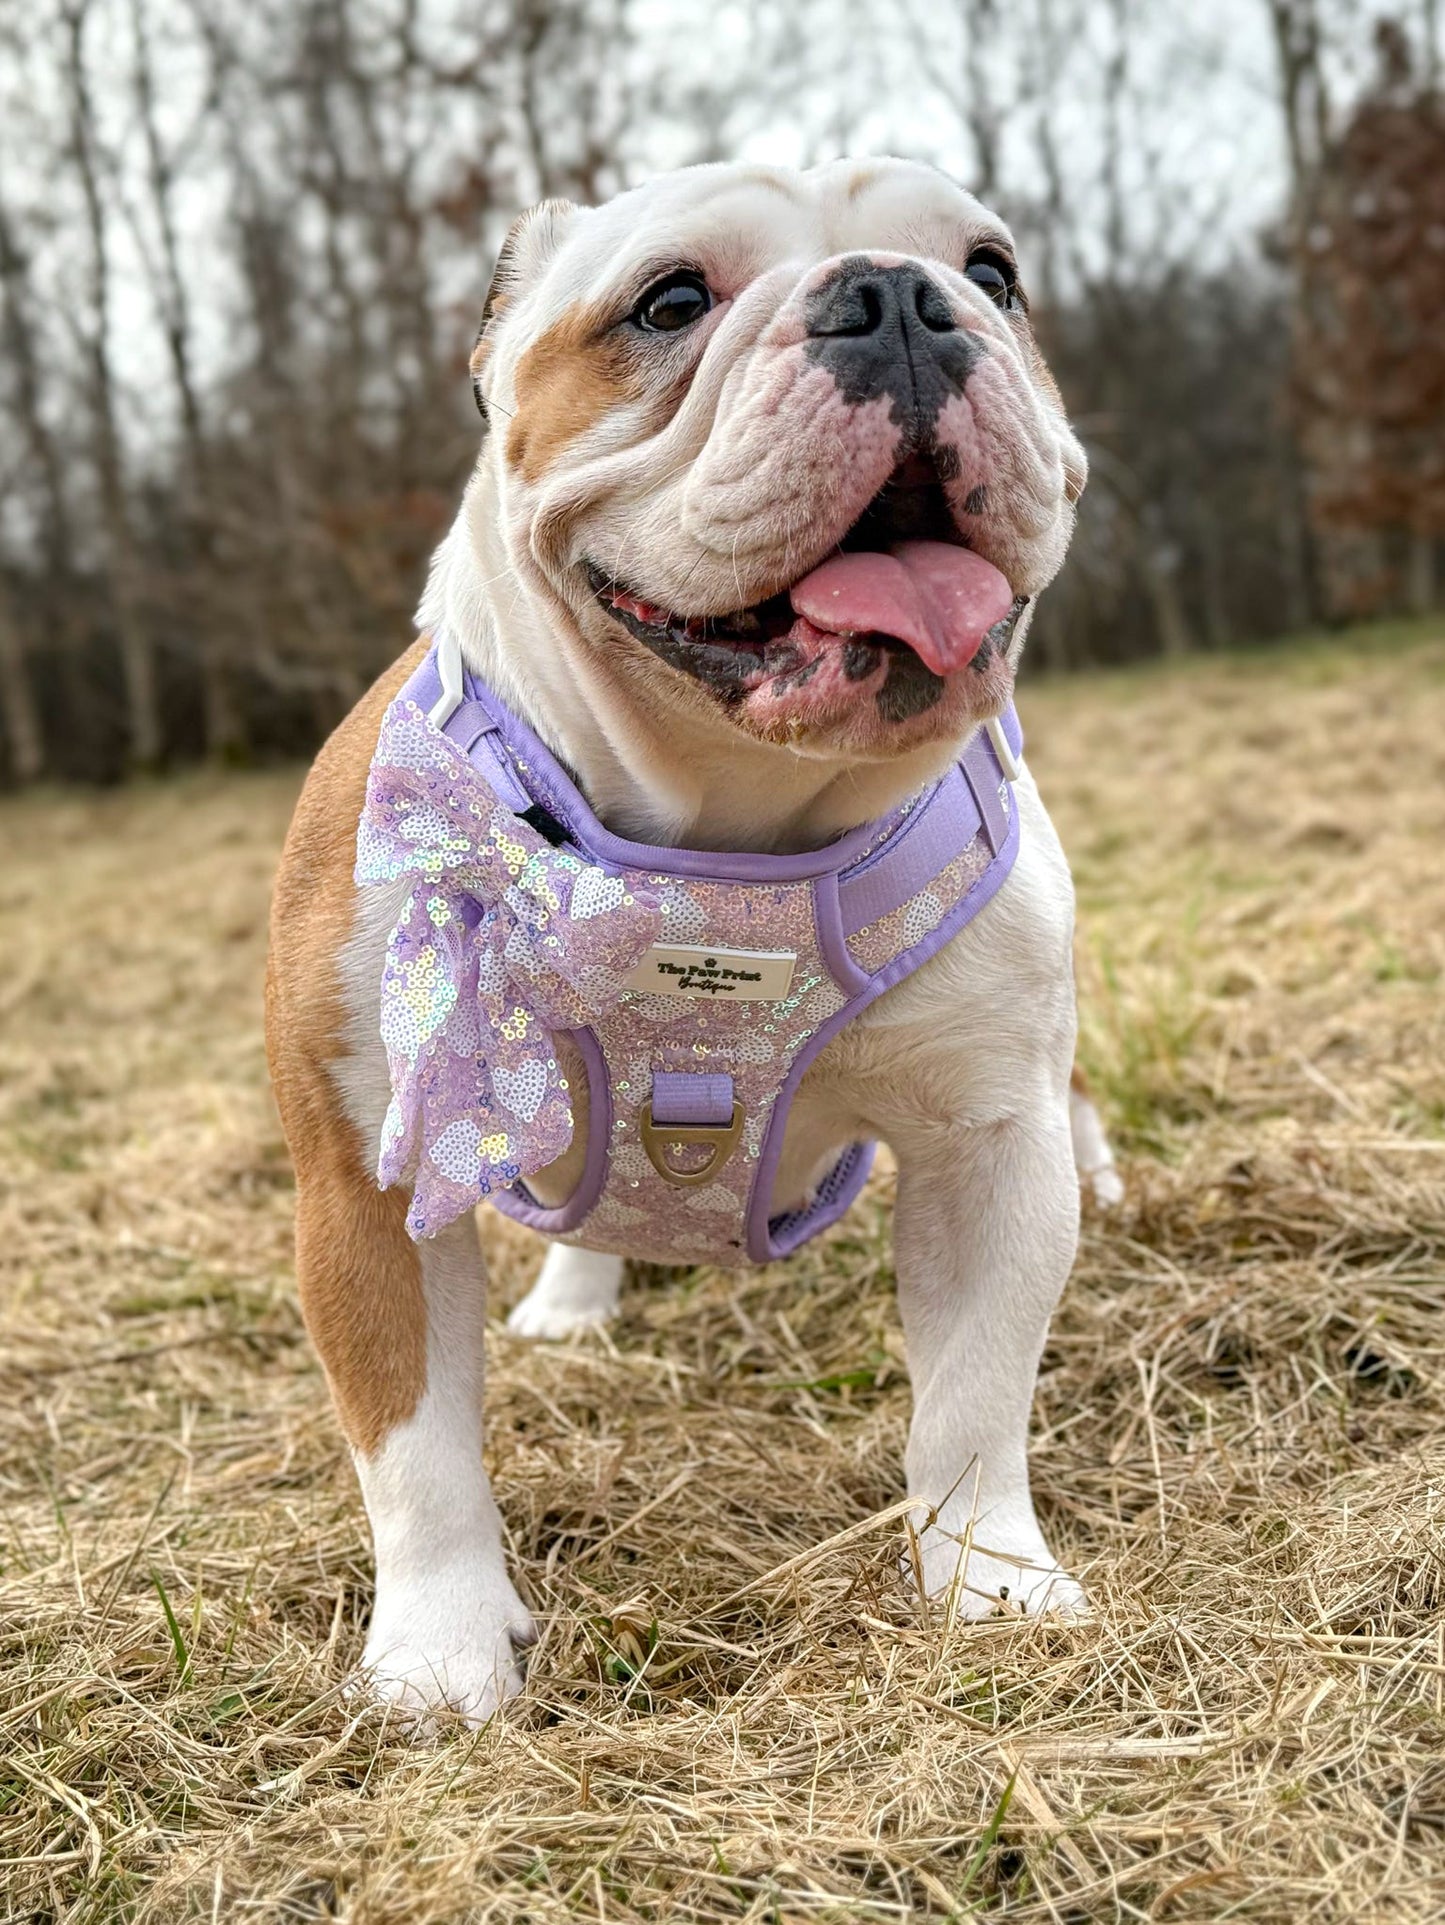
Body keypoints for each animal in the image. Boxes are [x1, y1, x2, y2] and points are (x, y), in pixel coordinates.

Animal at [269, 161, 1115, 1732]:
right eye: (667, 302)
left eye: (994, 272)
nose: (898, 297)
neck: (729, 822)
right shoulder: (369, 1176)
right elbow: (414, 1446)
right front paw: (439, 1655)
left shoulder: (989, 1145)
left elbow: (973, 1398)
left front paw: (989, 1581)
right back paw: (573, 1298)